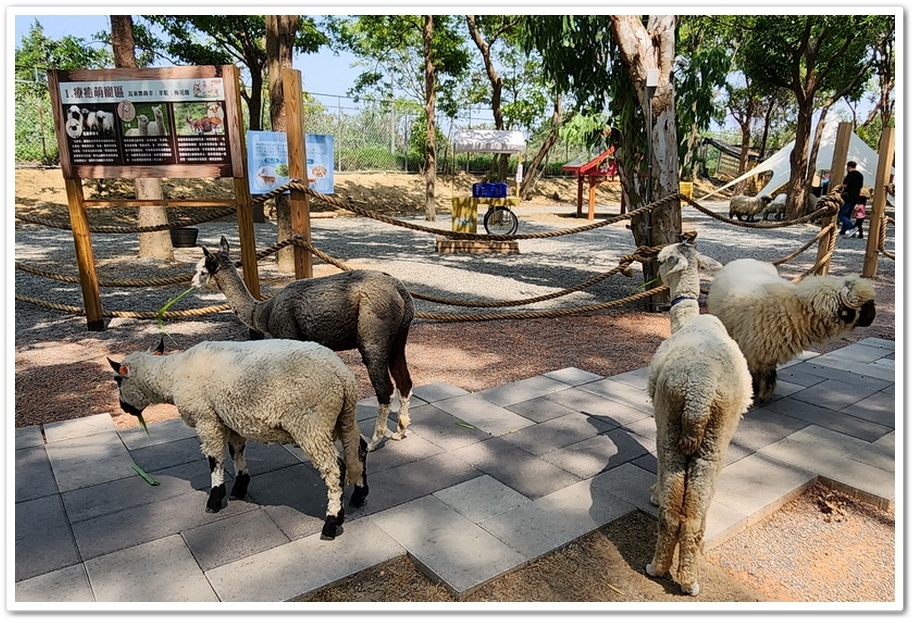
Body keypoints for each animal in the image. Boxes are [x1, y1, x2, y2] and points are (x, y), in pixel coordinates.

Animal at [107, 336, 364, 540]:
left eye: (118, 380)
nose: (124, 408)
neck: (172, 375)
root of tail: (343, 376)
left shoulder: (206, 418)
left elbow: (214, 459)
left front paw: (215, 499)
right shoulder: (230, 418)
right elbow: (236, 451)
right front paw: (240, 486)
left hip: (311, 421)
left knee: (335, 468)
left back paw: (332, 522)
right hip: (343, 418)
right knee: (358, 450)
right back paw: (359, 496)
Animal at [193, 236, 416, 450]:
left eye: (202, 270)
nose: (192, 282)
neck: (263, 312)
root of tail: (400, 290)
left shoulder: (289, 336)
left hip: (373, 333)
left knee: (384, 389)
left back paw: (374, 441)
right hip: (399, 336)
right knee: (404, 381)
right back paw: (399, 431)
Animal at [644, 238, 752, 596]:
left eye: (663, 258)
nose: (653, 265)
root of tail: (699, 395)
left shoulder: (658, 415)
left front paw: (652, 492)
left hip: (670, 418)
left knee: (672, 508)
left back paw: (657, 567)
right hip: (717, 433)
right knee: (694, 513)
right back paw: (689, 579)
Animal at [704, 258, 876, 404]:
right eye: (864, 305)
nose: (872, 318)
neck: (795, 306)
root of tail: (743, 259)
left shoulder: (767, 350)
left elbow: (768, 373)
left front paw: (764, 392)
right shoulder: (756, 349)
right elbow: (762, 372)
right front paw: (761, 393)